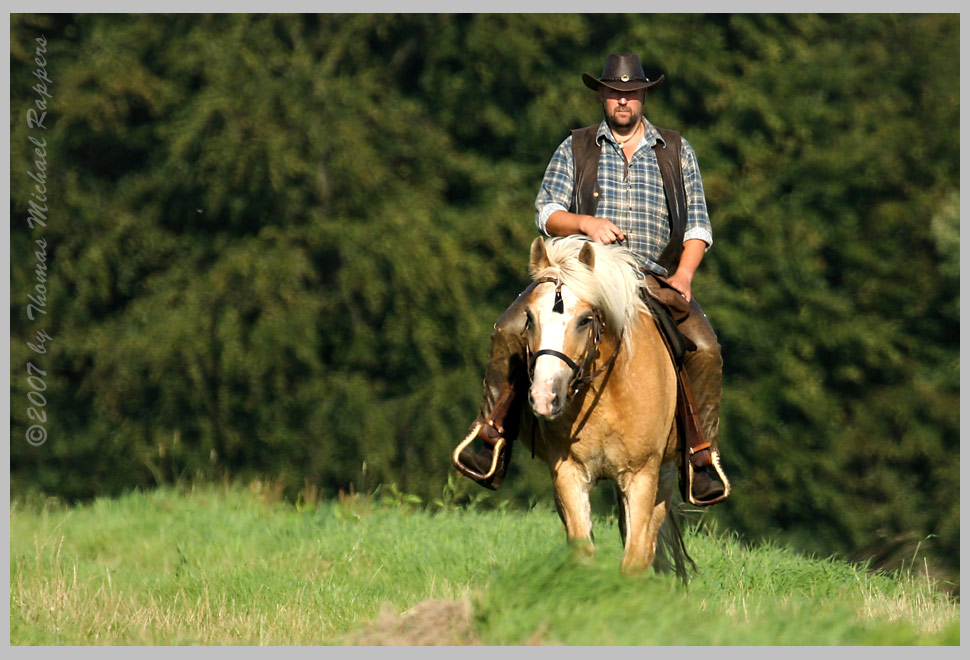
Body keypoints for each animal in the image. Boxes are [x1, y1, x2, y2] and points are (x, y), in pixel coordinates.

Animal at [520, 235, 688, 576]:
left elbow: (636, 556)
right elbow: (582, 549)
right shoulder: (568, 472)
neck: (608, 398)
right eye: (529, 317)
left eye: (585, 320)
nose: (545, 397)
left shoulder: (642, 476)